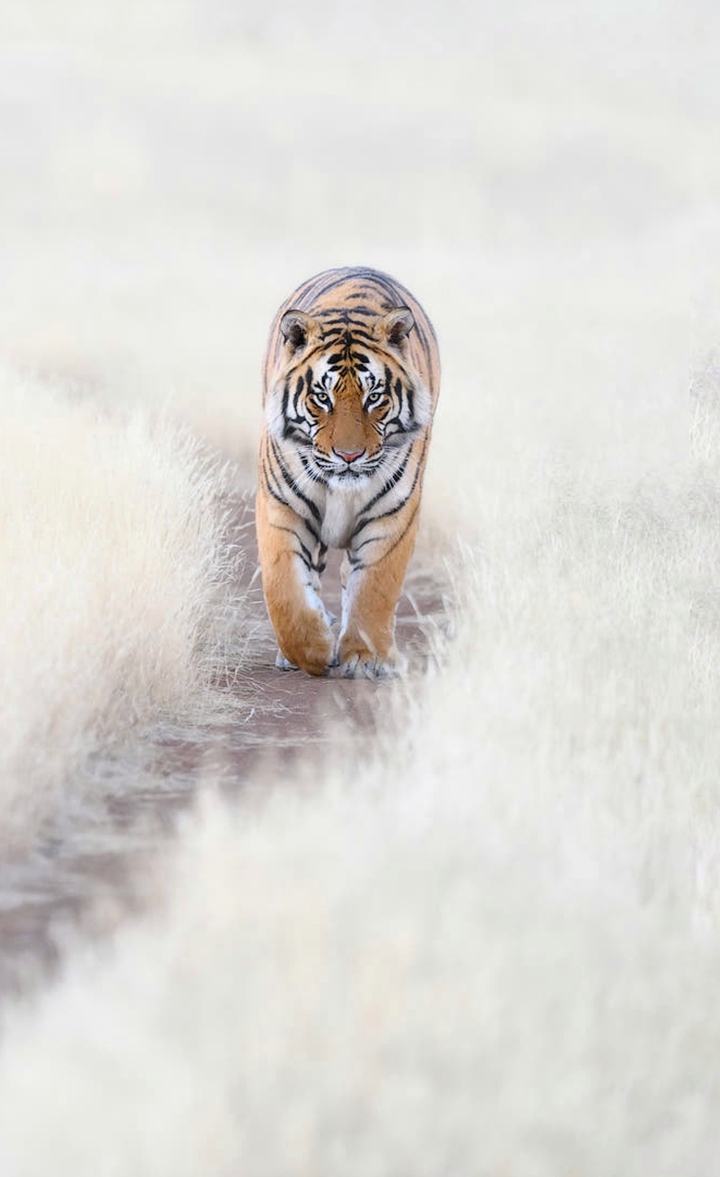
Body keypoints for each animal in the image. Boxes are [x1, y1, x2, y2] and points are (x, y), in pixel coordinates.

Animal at [256, 266, 440, 679]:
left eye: (374, 398)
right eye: (322, 398)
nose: (350, 456)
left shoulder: (393, 514)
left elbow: (374, 587)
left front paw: (367, 658)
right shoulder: (281, 507)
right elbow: (285, 591)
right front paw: (312, 651)